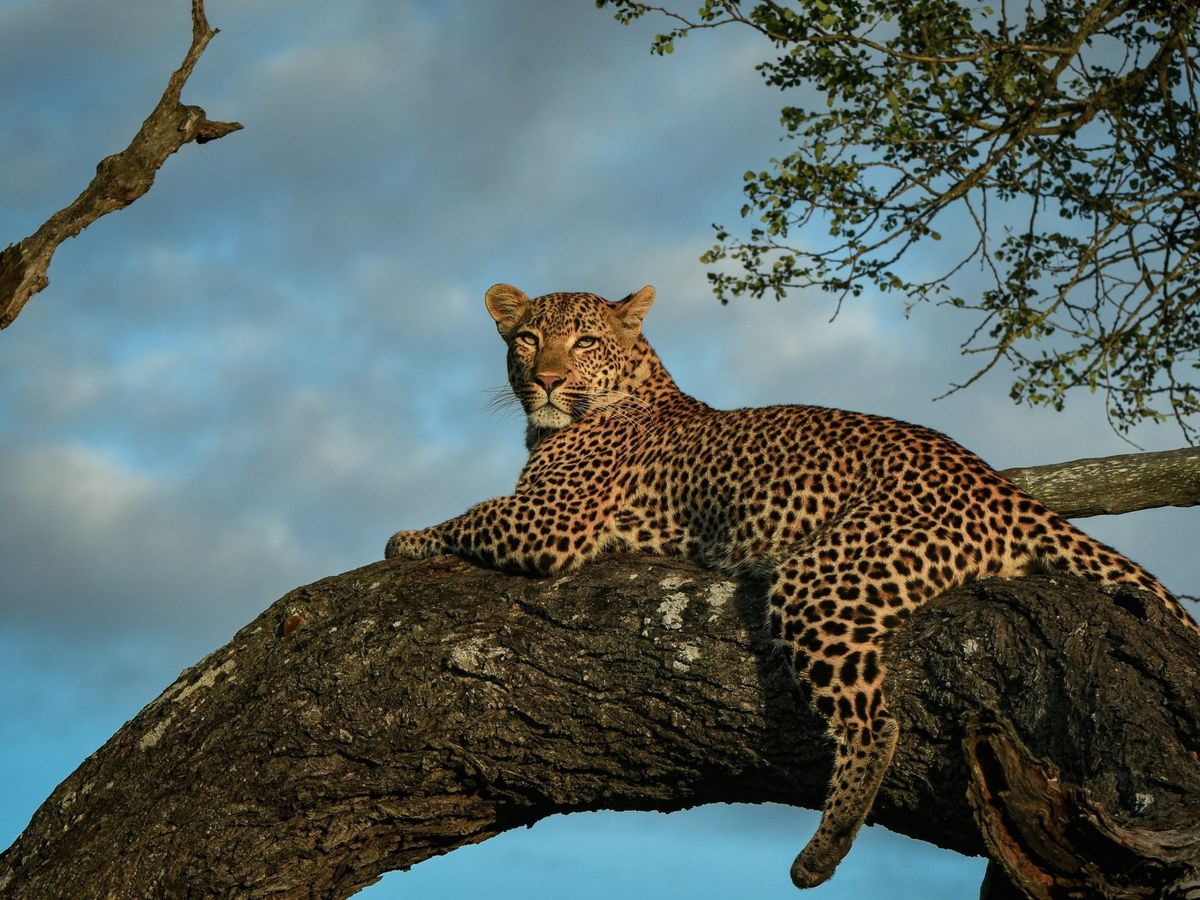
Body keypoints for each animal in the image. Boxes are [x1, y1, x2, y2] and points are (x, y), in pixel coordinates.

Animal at [385, 283, 1198, 889]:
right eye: (527, 339)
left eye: (584, 342)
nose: (548, 379)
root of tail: (1000, 487)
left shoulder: (549, 519)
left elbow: (473, 513)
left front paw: (406, 538)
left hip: (823, 578)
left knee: (875, 724)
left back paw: (821, 853)